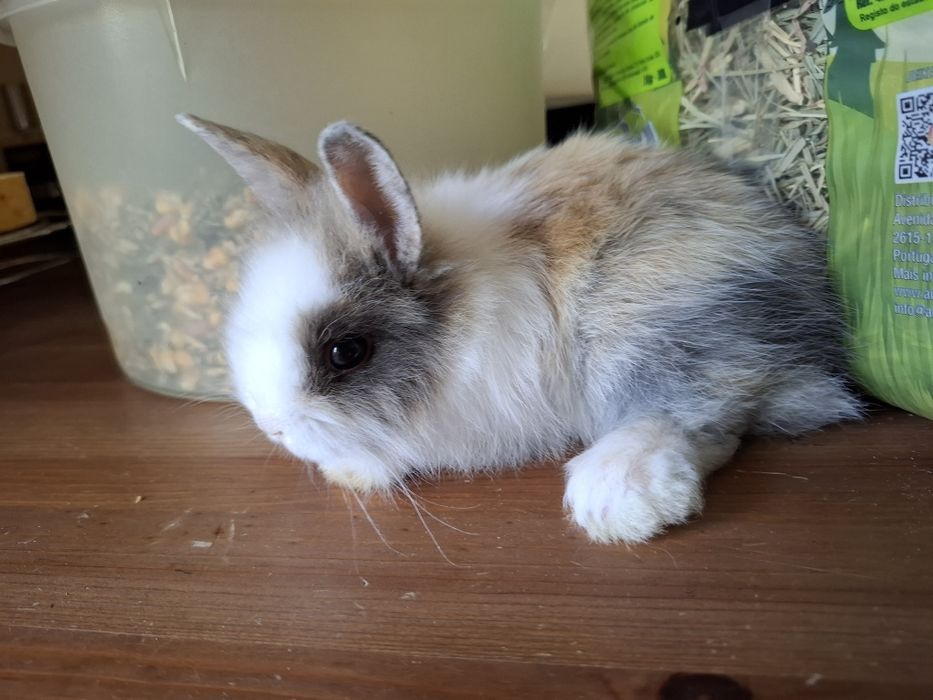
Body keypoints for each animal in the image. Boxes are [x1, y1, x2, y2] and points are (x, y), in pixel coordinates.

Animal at [177, 113, 861, 544]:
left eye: (347, 352)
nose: (272, 427)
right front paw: (347, 472)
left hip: (646, 325)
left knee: (710, 411)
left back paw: (618, 499)